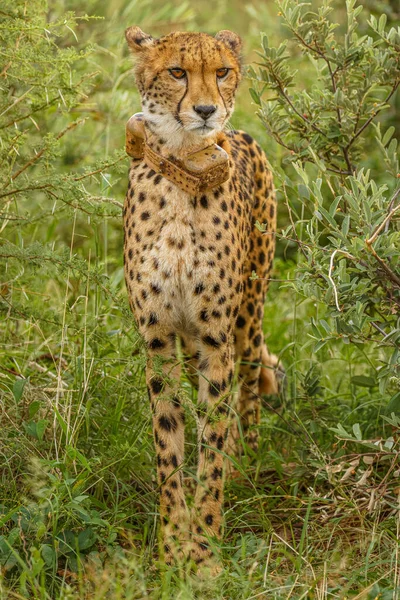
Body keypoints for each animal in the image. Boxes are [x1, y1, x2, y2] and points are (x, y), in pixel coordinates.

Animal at [123, 27, 280, 572]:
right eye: (177, 72)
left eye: (223, 71)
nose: (208, 110)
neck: (185, 167)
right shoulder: (160, 339)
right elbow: (168, 441)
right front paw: (173, 545)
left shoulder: (216, 337)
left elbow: (210, 442)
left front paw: (207, 549)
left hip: (247, 319)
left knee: (247, 387)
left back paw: (245, 461)